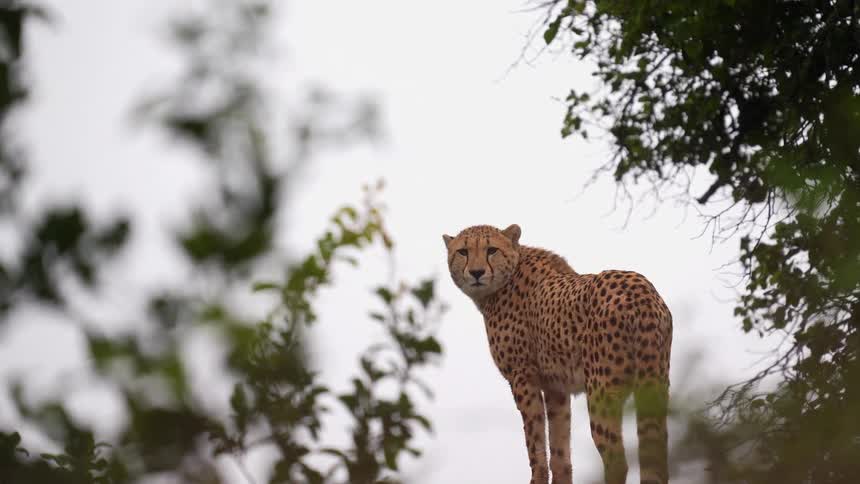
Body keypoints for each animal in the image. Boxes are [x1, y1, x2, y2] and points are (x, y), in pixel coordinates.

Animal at [443, 224, 672, 484]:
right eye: (463, 252)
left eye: (491, 250)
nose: (477, 272)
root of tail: (641, 289)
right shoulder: (557, 388)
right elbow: (559, 454)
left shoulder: (523, 377)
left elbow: (535, 444)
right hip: (655, 383)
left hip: (602, 391)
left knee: (617, 460)